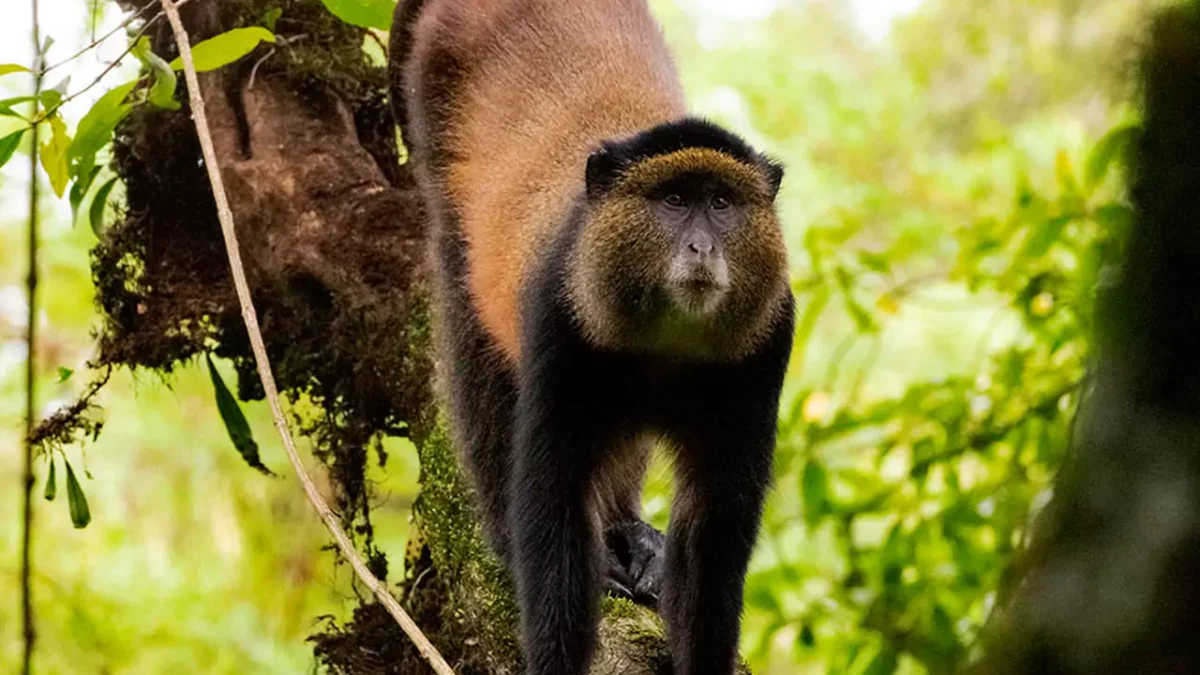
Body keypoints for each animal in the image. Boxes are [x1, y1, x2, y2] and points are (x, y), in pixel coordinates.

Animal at [388, 1, 795, 674]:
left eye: (721, 202)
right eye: (673, 199)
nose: (702, 248)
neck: (666, 341)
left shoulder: (768, 337)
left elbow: (714, 528)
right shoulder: (559, 315)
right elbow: (553, 503)